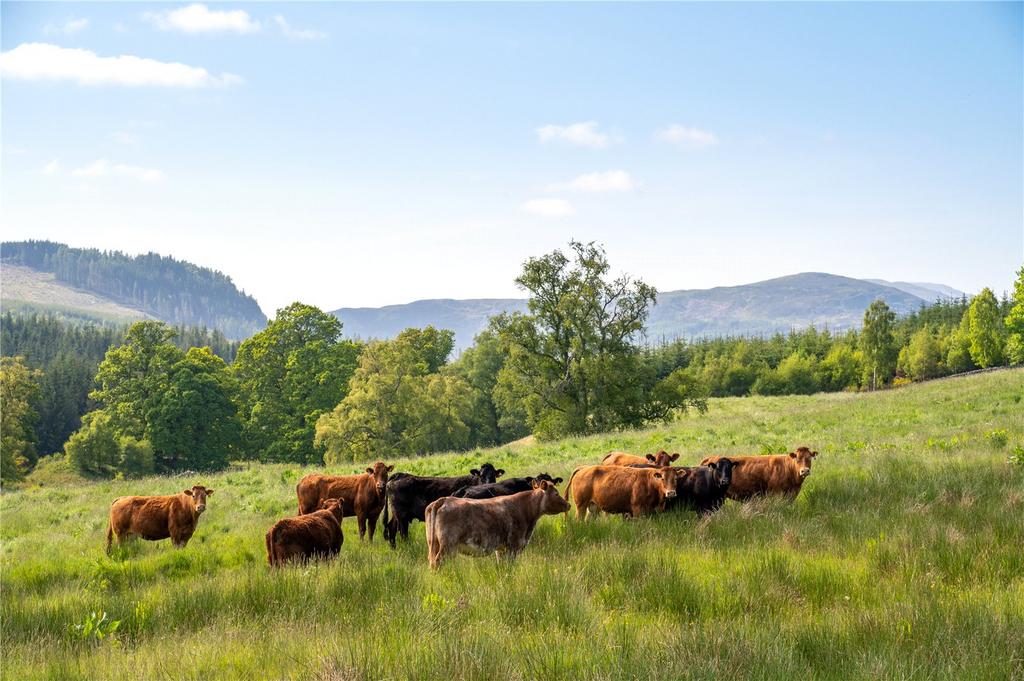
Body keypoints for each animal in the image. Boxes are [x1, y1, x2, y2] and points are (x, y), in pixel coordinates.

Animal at [425, 480, 570, 569]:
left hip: (434, 543)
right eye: (556, 493)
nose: (568, 505)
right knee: (438, 562)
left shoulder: (501, 549)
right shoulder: (513, 546)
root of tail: (444, 500)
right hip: (447, 546)